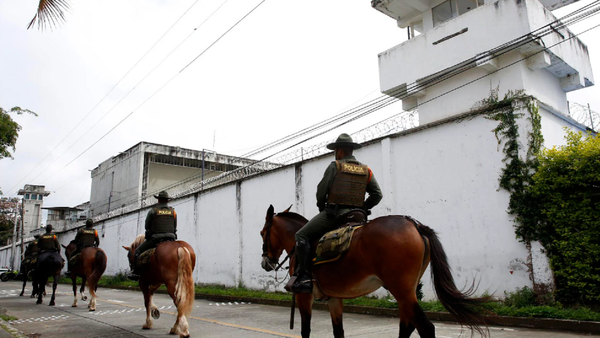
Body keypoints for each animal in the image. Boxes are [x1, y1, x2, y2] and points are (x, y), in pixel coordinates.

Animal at [260, 205, 490, 338]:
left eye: (263, 233)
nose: (266, 263)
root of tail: (414, 224)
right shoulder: (334, 298)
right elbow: (338, 331)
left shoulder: (303, 296)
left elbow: (305, 330)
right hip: (407, 291)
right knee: (407, 326)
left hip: (401, 289)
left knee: (425, 328)